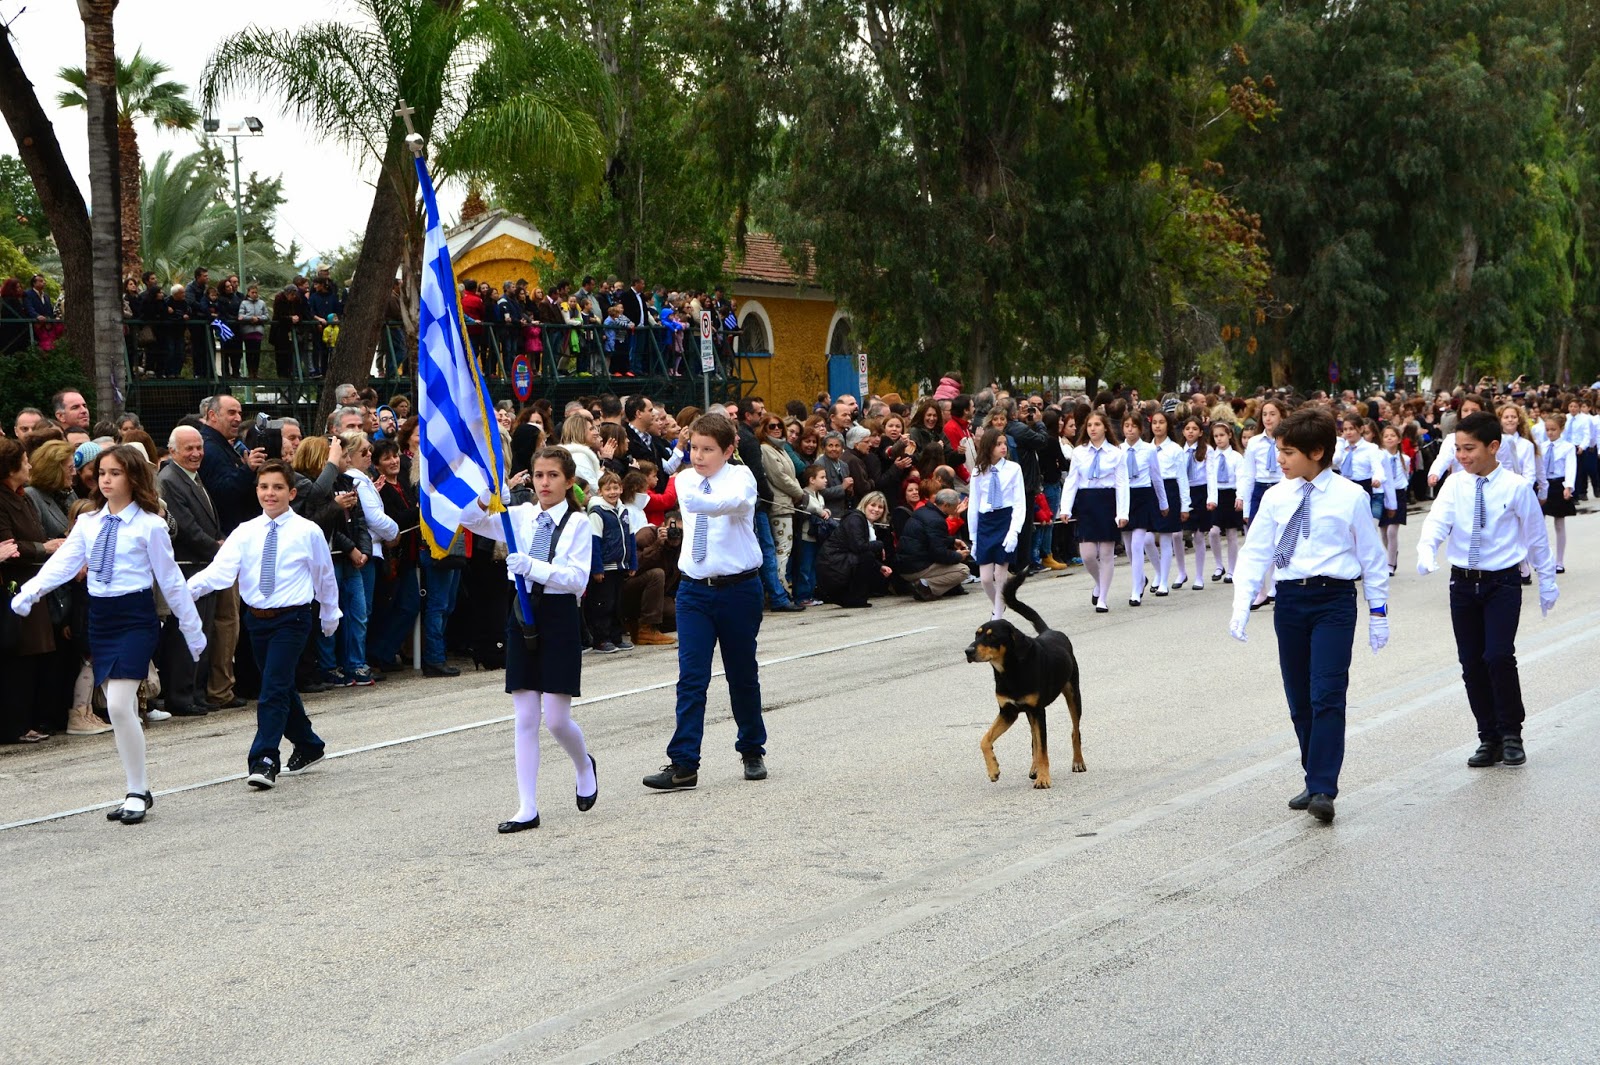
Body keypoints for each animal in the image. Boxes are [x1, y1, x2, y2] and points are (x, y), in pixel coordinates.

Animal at [960, 572, 1088, 786]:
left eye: (992, 636)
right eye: (976, 635)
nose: (968, 651)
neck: (1010, 671)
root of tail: (1049, 631)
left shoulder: (1038, 711)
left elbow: (1043, 749)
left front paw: (1044, 779)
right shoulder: (1008, 711)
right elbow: (985, 739)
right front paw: (993, 770)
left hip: (1072, 693)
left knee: (1074, 730)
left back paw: (1077, 762)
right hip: (1029, 712)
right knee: (1034, 741)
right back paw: (1034, 767)